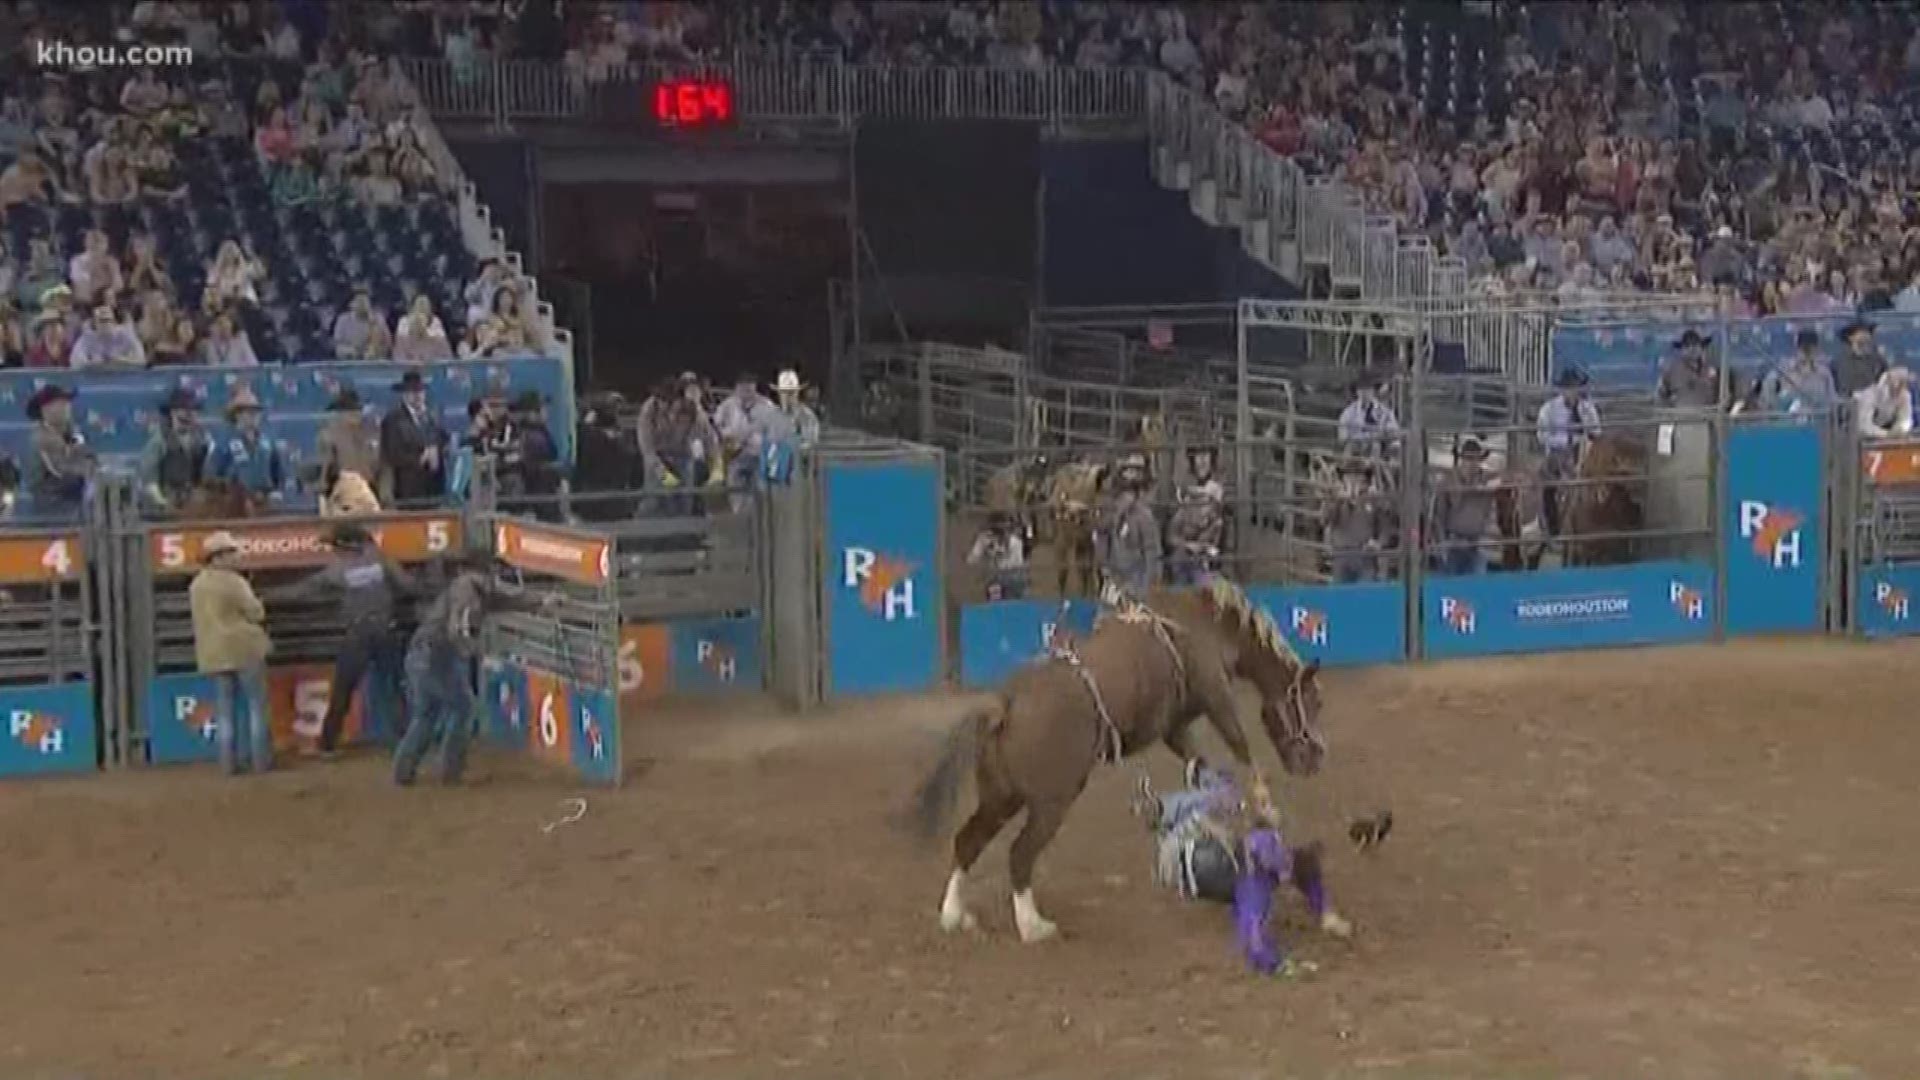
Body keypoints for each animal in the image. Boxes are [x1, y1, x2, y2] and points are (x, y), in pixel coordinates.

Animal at [910, 576, 1328, 937]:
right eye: (1313, 702)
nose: (1315, 759)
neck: (1206, 624)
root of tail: (1005, 704)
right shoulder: (1217, 698)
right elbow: (1242, 749)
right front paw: (1266, 808)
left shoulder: (1174, 728)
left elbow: (1200, 767)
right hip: (1049, 803)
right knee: (1019, 853)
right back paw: (1033, 926)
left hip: (1001, 796)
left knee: (968, 841)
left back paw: (954, 915)